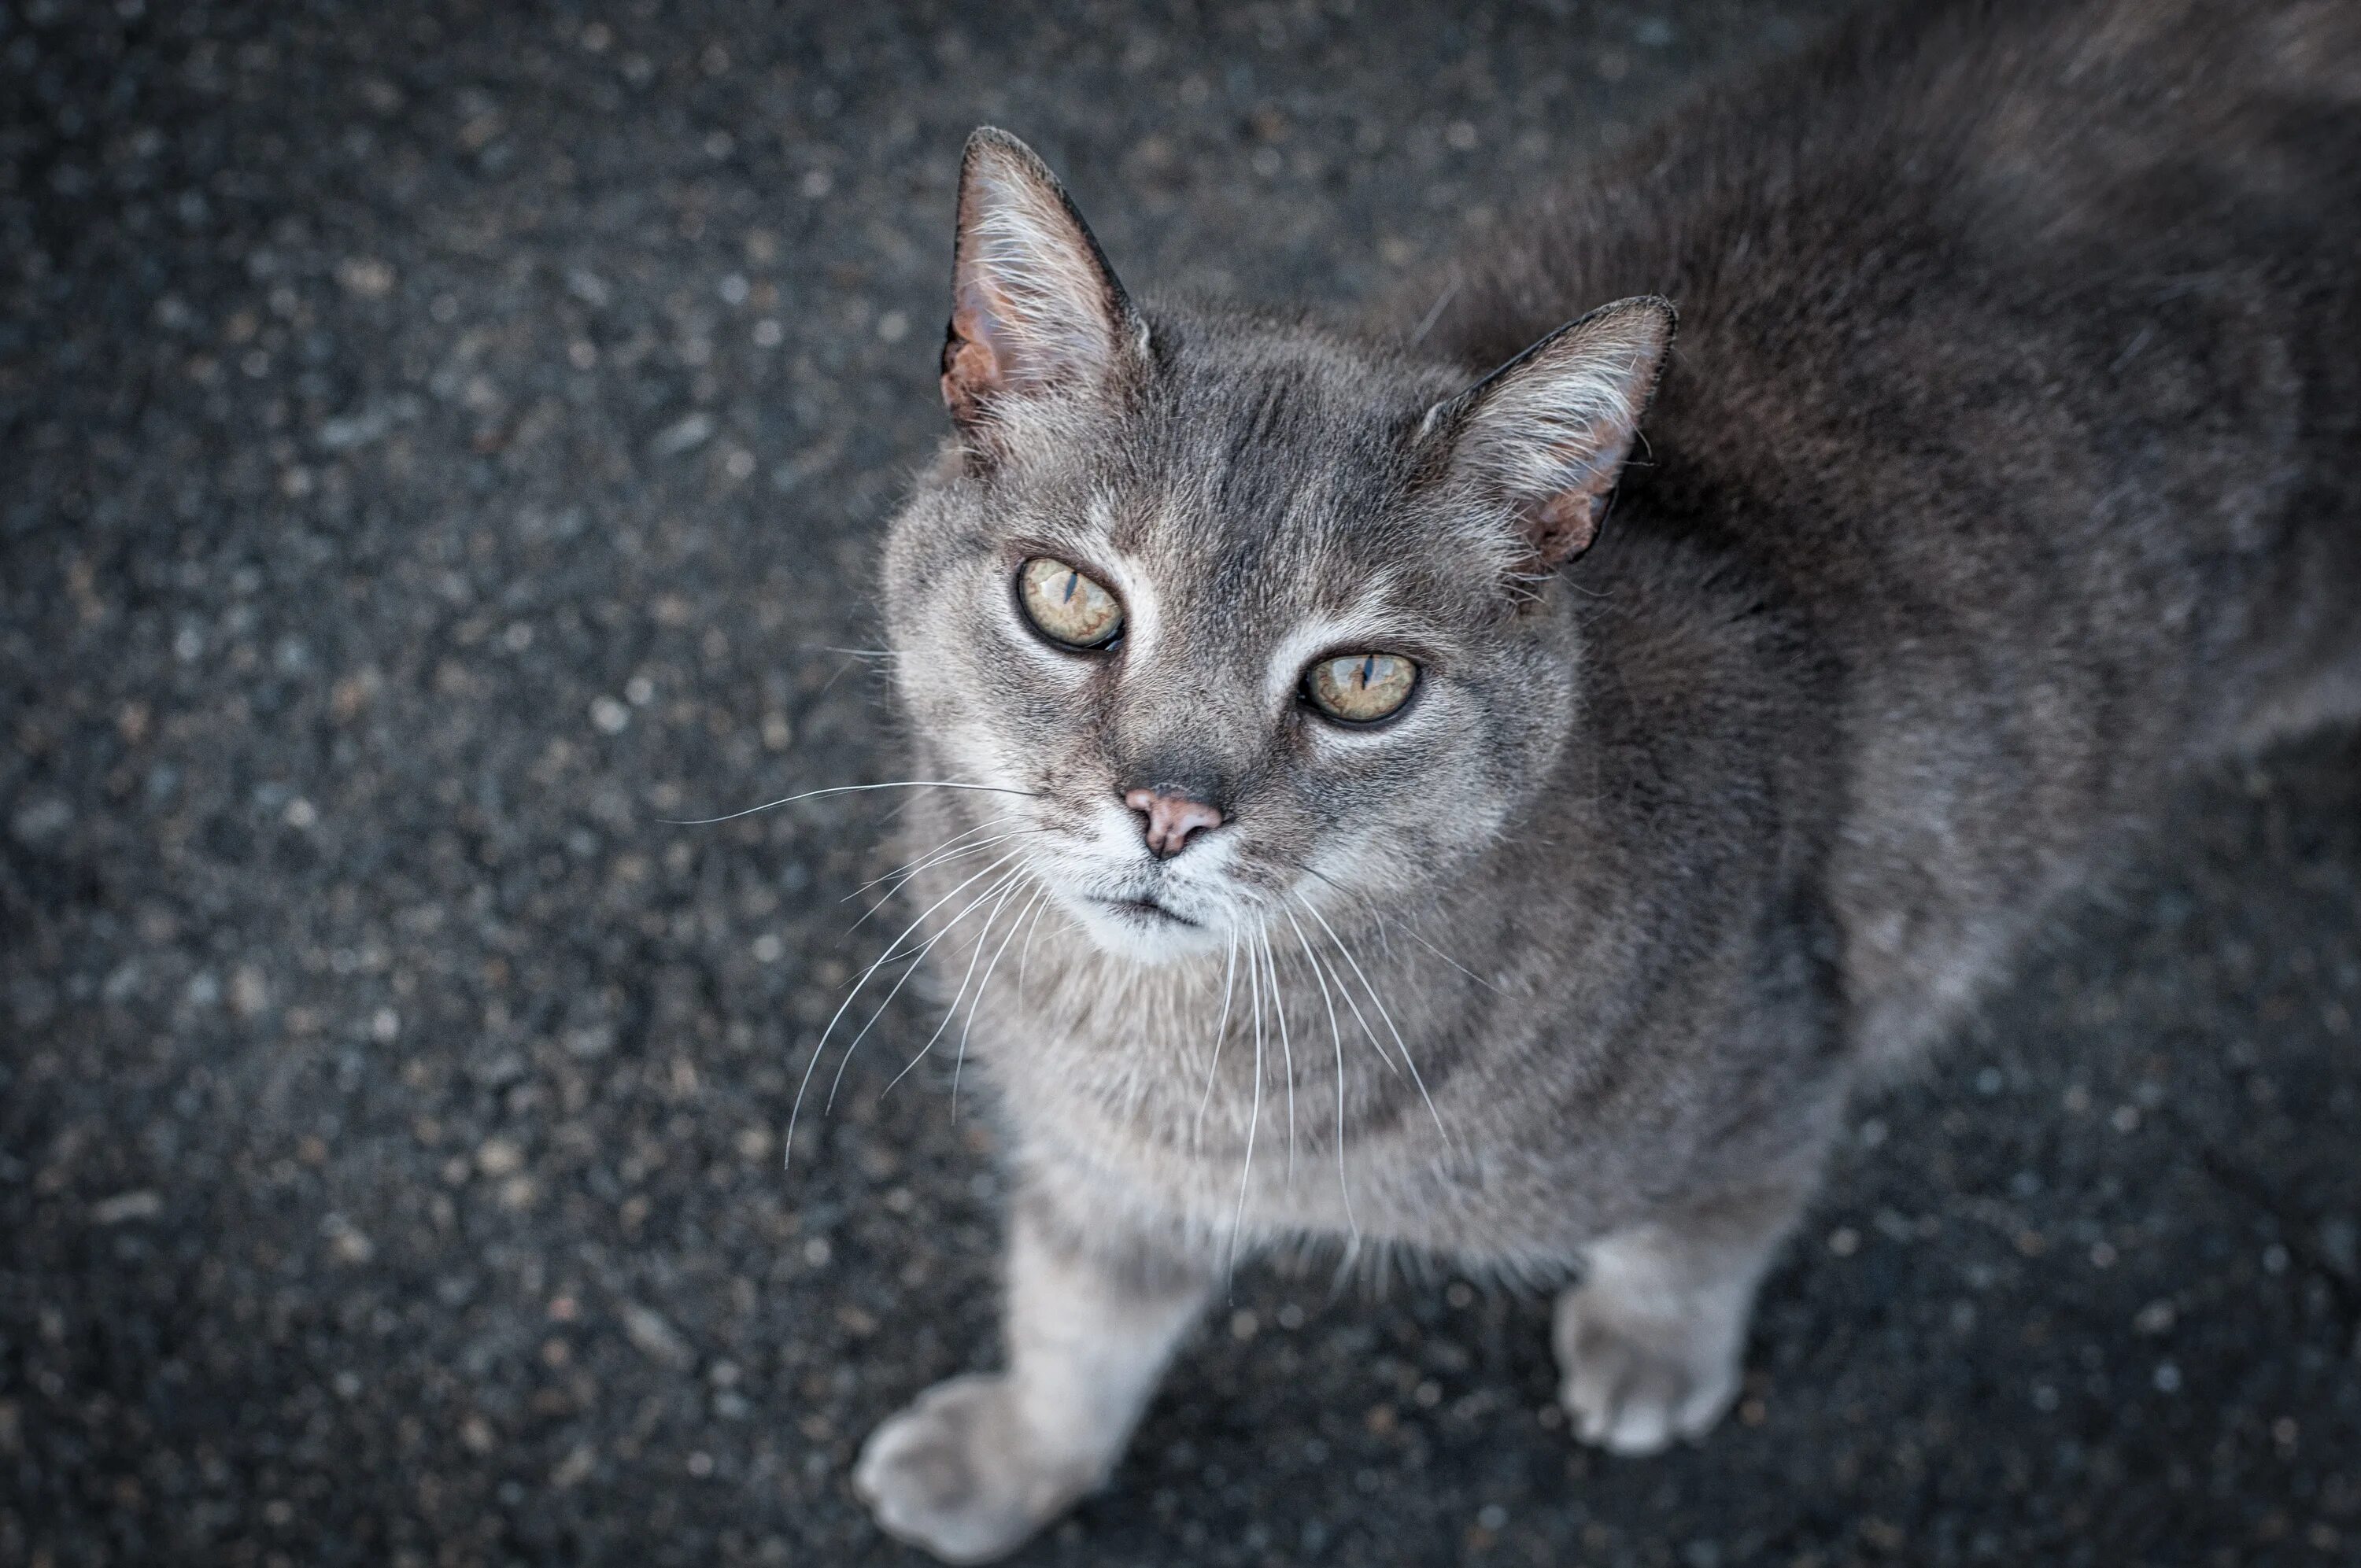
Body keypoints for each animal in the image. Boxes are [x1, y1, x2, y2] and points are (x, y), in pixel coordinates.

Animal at [850, 0, 2361, 1558]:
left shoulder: (1775, 1091)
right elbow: (1075, 1327)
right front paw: (1014, 1457)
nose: (1169, 810)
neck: (1159, 1057)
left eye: (1363, 681)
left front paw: (1655, 1349)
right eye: (1072, 600)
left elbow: (1705, 1239)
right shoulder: (1104, 1177)